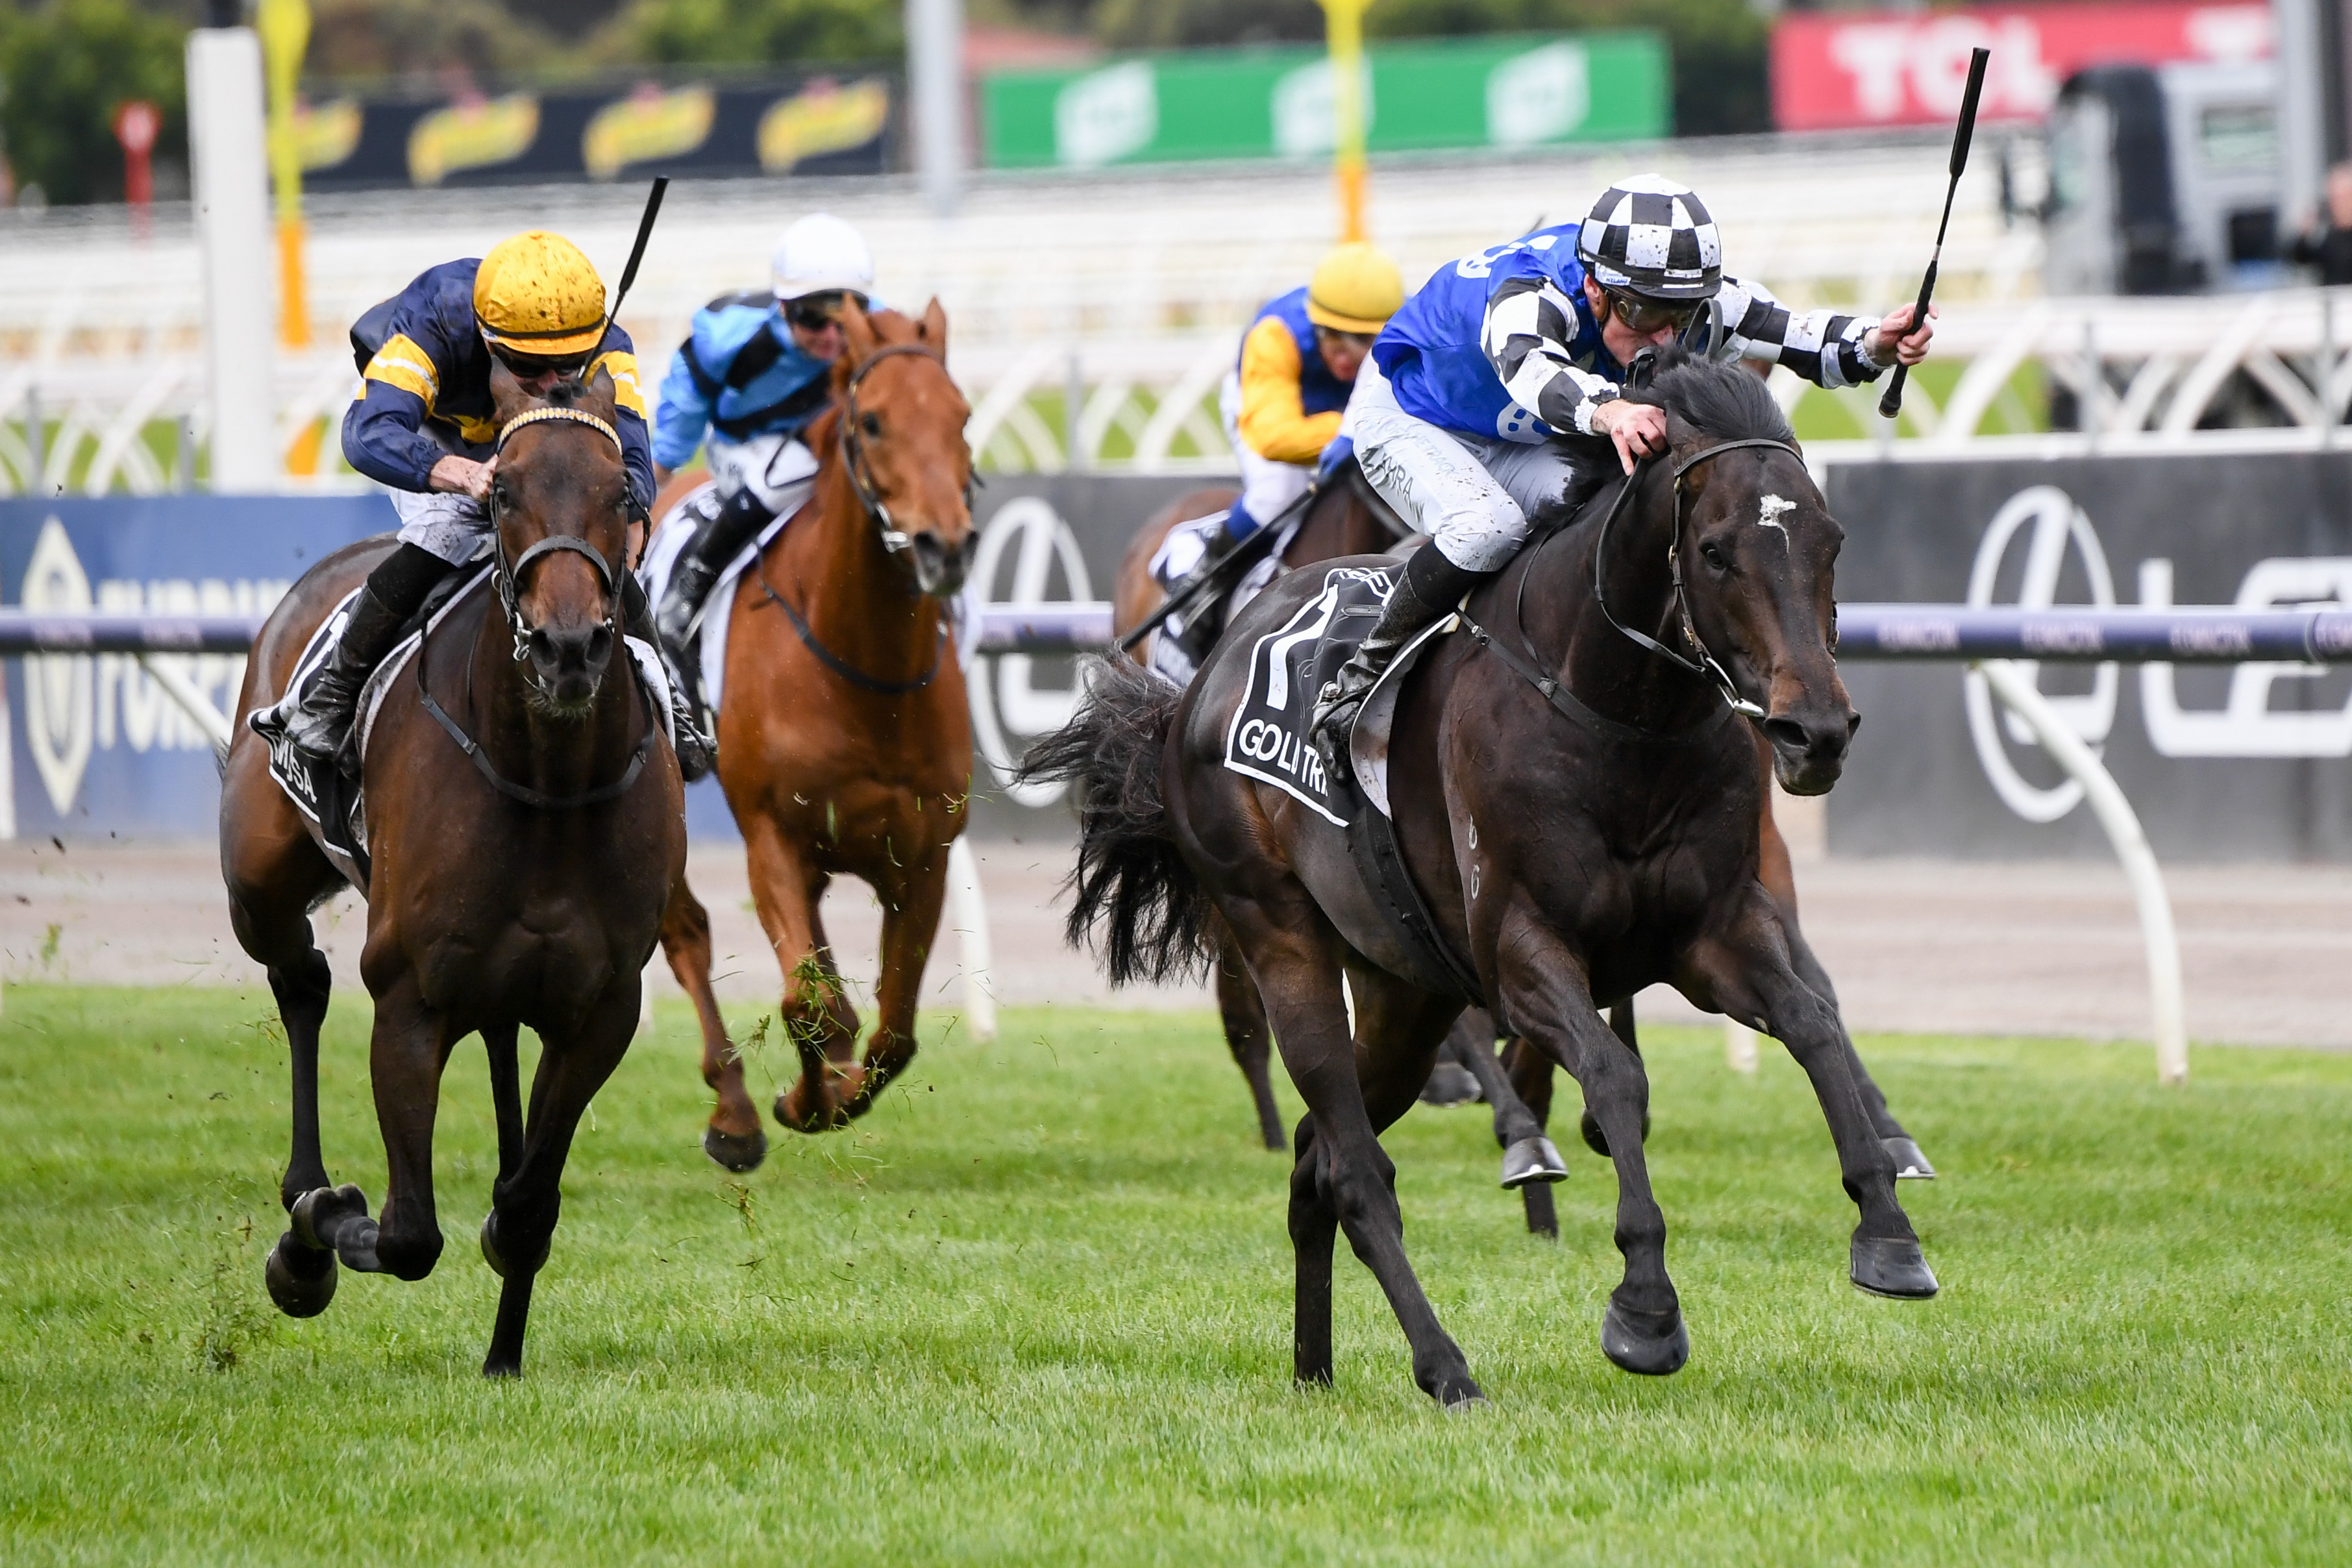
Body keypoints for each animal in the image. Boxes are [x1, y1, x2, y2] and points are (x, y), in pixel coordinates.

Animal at [221, 364, 686, 1373]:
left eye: (623, 495)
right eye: (503, 492)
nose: (566, 647)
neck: (546, 779)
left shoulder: (600, 1005)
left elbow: (526, 1205)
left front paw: (505, 1330)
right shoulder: (410, 997)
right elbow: (406, 1233)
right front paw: (314, 1235)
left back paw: (502, 1347)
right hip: (257, 883)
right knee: (300, 978)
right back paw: (305, 1199)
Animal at [649, 303, 969, 1175]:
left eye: (962, 416)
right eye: (873, 420)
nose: (945, 546)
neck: (865, 675)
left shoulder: (922, 856)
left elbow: (893, 1032)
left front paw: (837, 1086)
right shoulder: (773, 838)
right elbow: (806, 1001)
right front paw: (802, 1098)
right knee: (685, 931)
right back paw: (732, 1114)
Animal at [1039, 354, 1938, 1410]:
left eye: (1829, 540)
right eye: (1715, 551)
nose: (1814, 733)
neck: (1613, 712)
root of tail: (1192, 692)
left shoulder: (1711, 928)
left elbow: (1812, 1022)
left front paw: (1887, 1234)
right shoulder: (1519, 949)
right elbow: (1614, 1075)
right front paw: (1643, 1306)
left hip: (1404, 989)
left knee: (1312, 1159)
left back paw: (1313, 1368)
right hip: (1282, 936)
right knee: (1353, 1169)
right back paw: (1444, 1366)